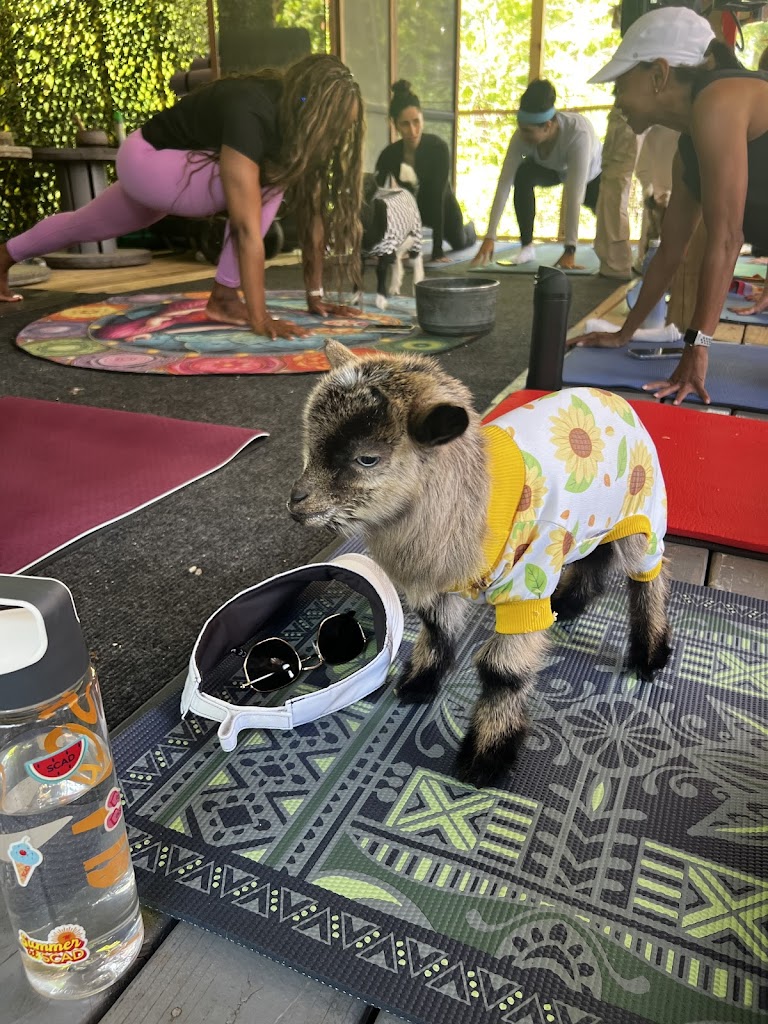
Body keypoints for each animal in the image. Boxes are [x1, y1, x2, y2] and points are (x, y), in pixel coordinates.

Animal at [288, 341, 672, 788]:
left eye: (367, 459)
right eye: (310, 442)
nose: (296, 502)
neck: (469, 499)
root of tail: (615, 397)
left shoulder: (526, 587)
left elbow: (502, 671)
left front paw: (487, 756)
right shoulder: (443, 583)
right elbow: (437, 628)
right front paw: (419, 683)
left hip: (643, 511)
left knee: (648, 578)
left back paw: (650, 655)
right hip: (593, 521)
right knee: (596, 553)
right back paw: (569, 603)